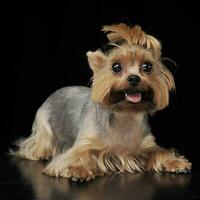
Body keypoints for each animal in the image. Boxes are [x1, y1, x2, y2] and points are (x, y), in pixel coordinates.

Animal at [12, 23, 192, 181]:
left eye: (147, 67)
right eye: (116, 67)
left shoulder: (147, 144)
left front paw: (175, 162)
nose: (134, 78)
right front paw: (79, 169)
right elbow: (81, 155)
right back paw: (43, 153)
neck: (125, 114)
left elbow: (159, 151)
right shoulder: (84, 143)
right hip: (43, 125)